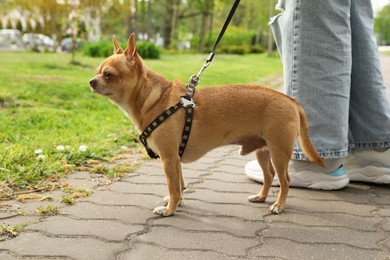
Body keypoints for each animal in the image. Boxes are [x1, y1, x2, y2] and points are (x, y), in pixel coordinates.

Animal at [90, 34, 324, 217]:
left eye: (108, 74)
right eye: (97, 71)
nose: (91, 81)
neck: (157, 99)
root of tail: (290, 100)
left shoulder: (169, 159)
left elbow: (173, 187)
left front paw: (169, 210)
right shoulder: (175, 160)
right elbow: (179, 186)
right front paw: (176, 202)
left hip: (279, 152)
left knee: (285, 180)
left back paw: (278, 205)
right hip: (263, 151)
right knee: (269, 176)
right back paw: (261, 197)